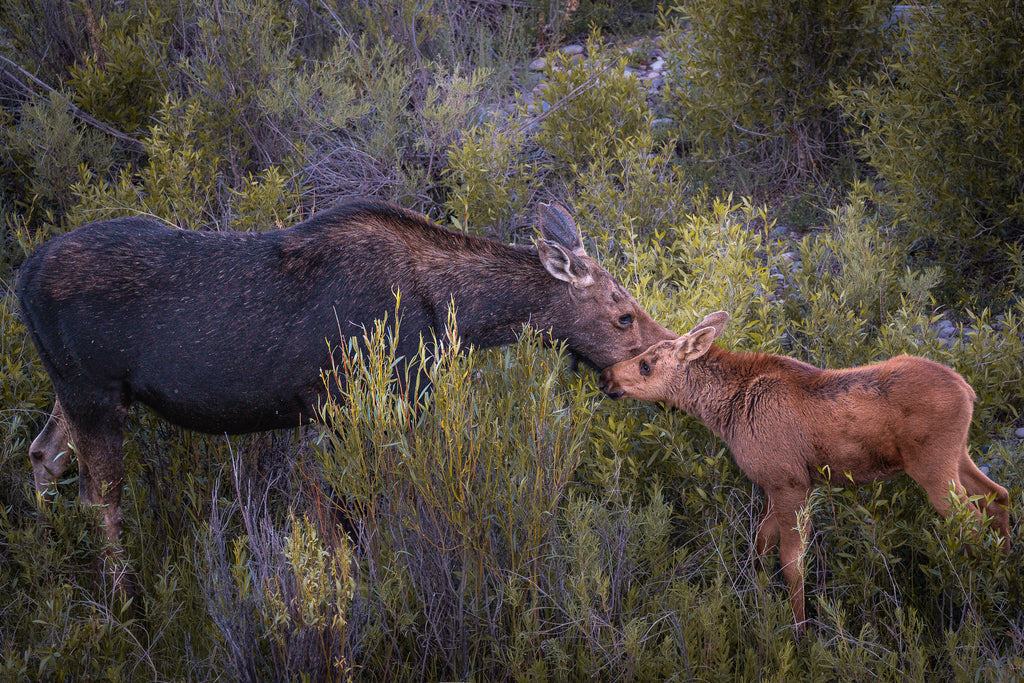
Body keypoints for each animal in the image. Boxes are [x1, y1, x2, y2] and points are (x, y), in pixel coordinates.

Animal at [598, 311, 1011, 635]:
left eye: (645, 364)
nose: (605, 376)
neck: (725, 412)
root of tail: (969, 390)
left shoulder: (791, 482)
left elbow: (791, 561)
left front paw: (801, 631)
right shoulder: (771, 483)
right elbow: (761, 545)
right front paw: (758, 601)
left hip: (933, 466)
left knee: (973, 524)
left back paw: (978, 604)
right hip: (957, 454)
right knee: (998, 496)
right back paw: (1003, 580)